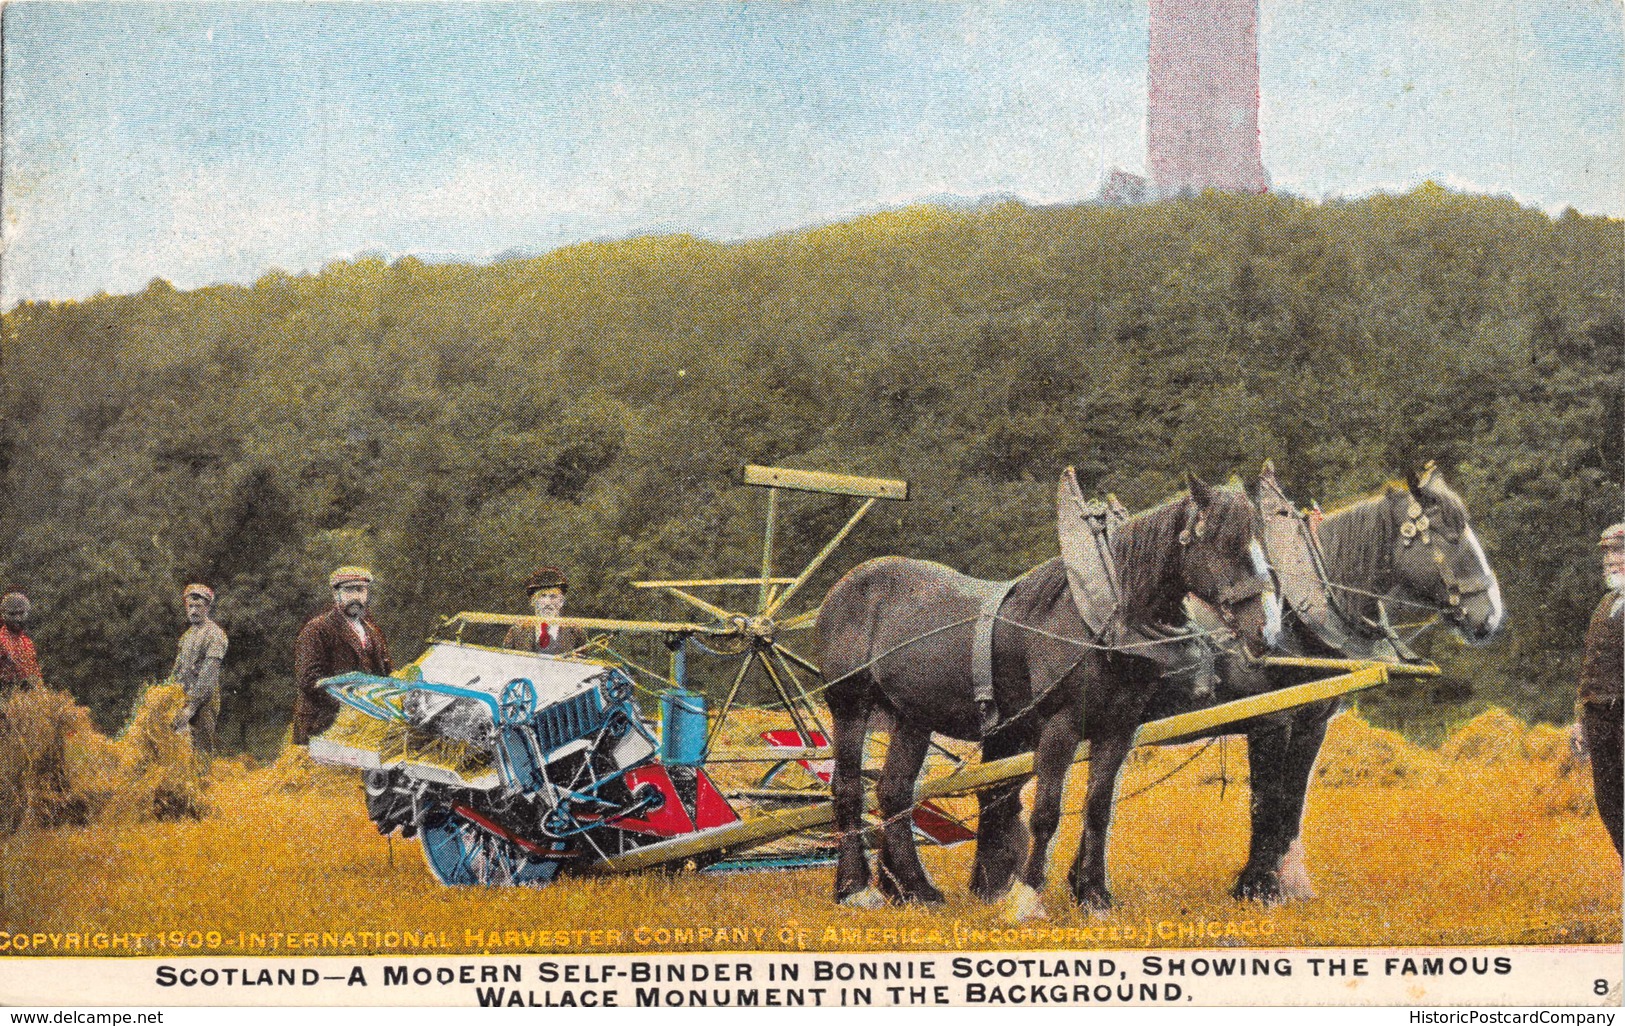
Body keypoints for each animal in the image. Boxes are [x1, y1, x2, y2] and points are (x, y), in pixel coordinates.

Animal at [825, 474, 1280, 917]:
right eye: (1226, 542)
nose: (1267, 630)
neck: (1100, 623)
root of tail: (847, 585)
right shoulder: (1060, 726)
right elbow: (1046, 811)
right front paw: (1027, 897)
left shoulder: (1118, 728)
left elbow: (1098, 809)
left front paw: (1094, 896)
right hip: (850, 705)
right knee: (848, 788)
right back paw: (856, 889)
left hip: (913, 717)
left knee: (894, 792)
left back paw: (916, 890)